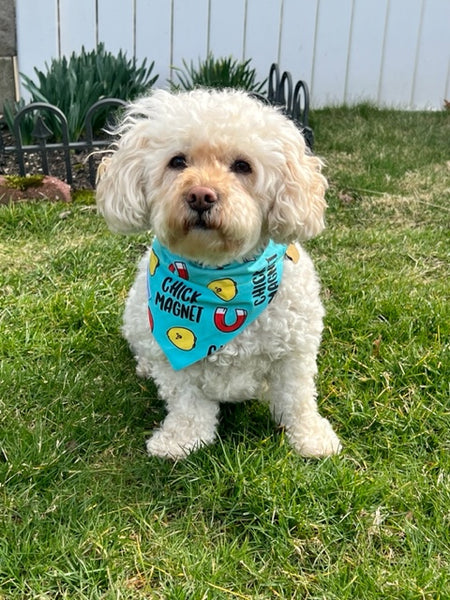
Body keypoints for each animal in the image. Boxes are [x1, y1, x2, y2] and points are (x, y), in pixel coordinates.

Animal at [95, 89, 342, 460]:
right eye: (177, 162)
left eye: (242, 166)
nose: (200, 195)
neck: (219, 276)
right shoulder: (174, 363)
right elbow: (187, 404)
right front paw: (181, 440)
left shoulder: (294, 352)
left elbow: (297, 397)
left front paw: (310, 437)